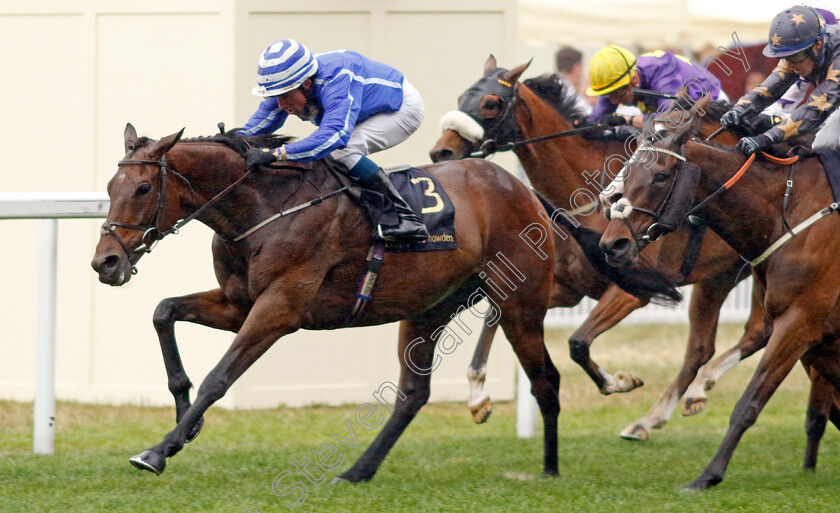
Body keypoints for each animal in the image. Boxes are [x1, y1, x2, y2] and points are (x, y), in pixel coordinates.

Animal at [88, 124, 564, 480]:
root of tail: (523, 190)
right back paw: (356, 472)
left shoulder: (279, 309)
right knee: (413, 395)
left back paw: (550, 470)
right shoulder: (238, 305)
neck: (263, 208)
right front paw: (186, 419)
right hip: (428, 310)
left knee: (546, 379)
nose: (105, 262)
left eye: (143, 188)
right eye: (110, 187)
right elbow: (164, 312)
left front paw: (159, 450)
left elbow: (218, 378)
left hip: (519, 304)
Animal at [430, 57, 772, 440]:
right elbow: (497, 318)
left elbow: (578, 343)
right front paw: (477, 397)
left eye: (491, 102)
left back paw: (682, 398)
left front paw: (619, 382)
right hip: (720, 276)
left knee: (754, 332)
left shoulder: (634, 291)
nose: (441, 150)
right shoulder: (566, 289)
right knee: (706, 346)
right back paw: (655, 416)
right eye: (462, 96)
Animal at [600, 95, 840, 488]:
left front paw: (708, 476)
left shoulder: (801, 323)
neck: (788, 209)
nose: (613, 244)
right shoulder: (819, 335)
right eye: (629, 170)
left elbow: (749, 402)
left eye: (661, 175)